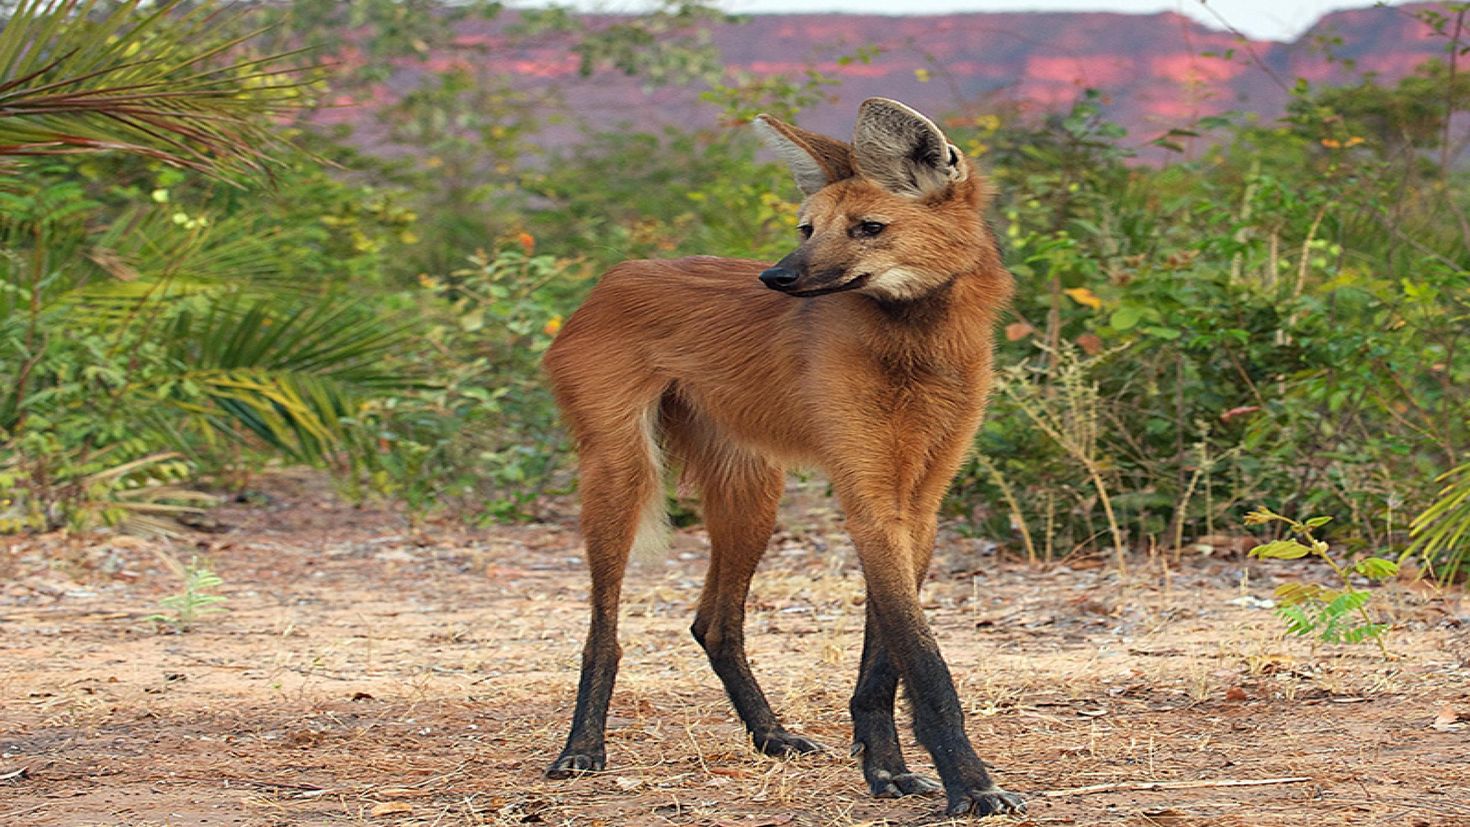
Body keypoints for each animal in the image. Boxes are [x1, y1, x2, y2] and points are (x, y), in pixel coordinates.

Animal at [540, 95, 1023, 816]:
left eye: (868, 228)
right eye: (806, 228)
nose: (776, 276)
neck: (916, 342)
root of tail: (613, 275)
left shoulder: (918, 504)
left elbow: (886, 658)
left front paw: (888, 769)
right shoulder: (869, 497)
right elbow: (924, 662)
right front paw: (971, 784)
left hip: (752, 494)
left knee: (714, 623)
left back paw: (772, 736)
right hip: (622, 473)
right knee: (605, 628)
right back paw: (581, 749)